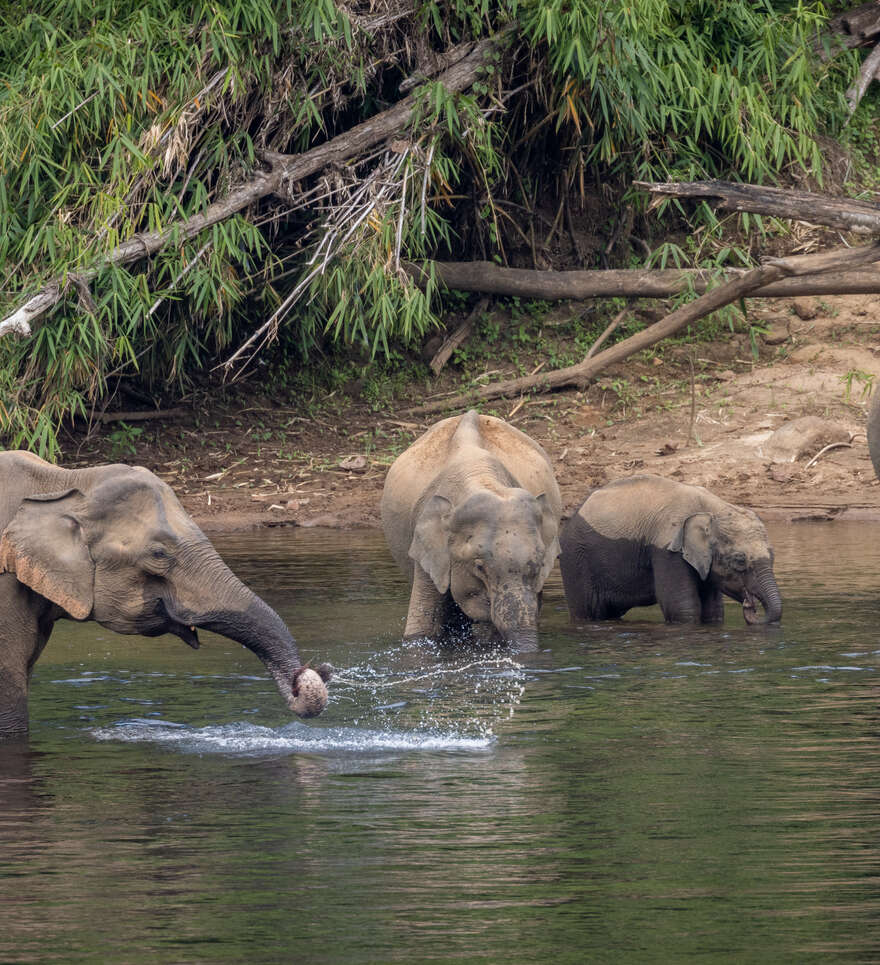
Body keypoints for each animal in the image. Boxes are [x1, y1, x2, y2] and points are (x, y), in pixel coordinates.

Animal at [560, 472, 780, 624]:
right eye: (739, 560)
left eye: (773, 556)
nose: (749, 603)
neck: (713, 509)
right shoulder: (667, 550)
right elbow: (683, 609)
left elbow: (713, 611)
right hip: (575, 557)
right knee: (587, 611)